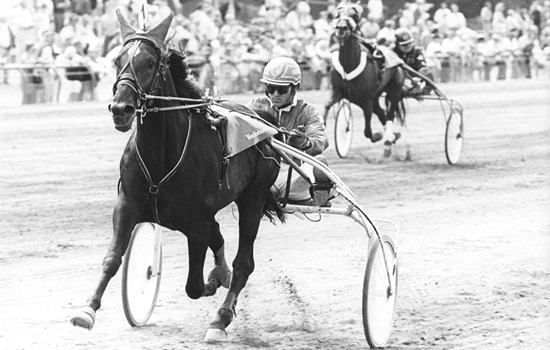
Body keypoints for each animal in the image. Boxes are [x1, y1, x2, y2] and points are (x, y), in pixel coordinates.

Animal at [71, 10, 286, 342]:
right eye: (117, 60)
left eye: (149, 63)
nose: (121, 108)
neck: (161, 157)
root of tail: (265, 121)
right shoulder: (127, 204)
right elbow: (112, 257)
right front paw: (87, 309)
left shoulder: (195, 224)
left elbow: (194, 286)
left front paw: (213, 284)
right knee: (219, 236)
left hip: (253, 198)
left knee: (243, 264)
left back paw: (221, 317)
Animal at [326, 11, 408, 156]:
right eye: (338, 13)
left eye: (354, 15)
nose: (341, 28)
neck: (349, 66)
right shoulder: (337, 92)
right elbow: (326, 106)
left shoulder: (366, 101)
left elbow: (367, 132)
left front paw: (378, 135)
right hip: (375, 96)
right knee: (381, 112)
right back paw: (393, 136)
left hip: (394, 90)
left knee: (390, 114)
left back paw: (388, 141)